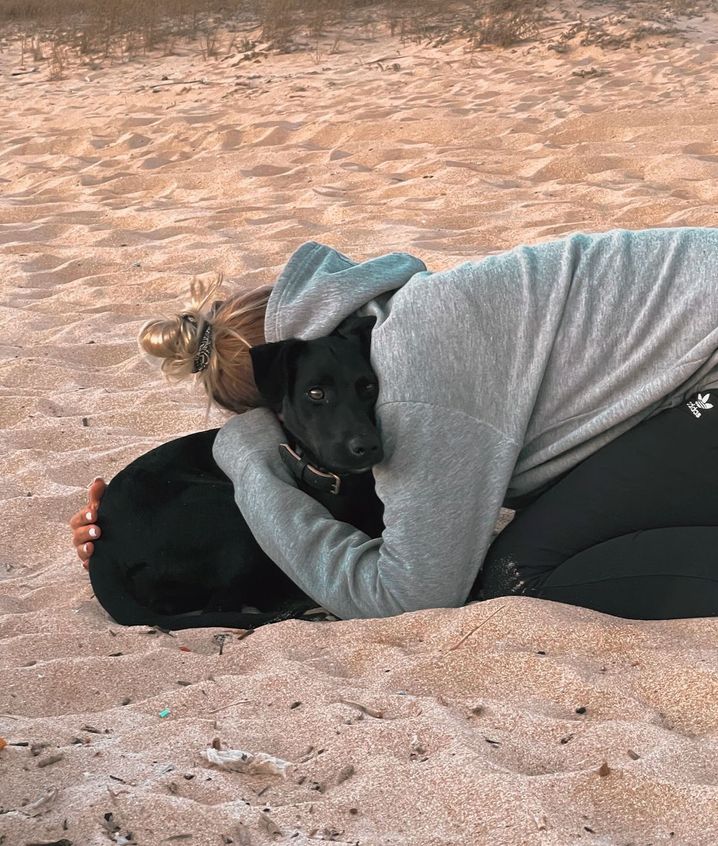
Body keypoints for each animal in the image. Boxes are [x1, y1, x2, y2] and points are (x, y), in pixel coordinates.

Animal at [89, 316, 386, 628]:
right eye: (315, 393)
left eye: (369, 387)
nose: (368, 446)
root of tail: (103, 550)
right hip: (231, 514)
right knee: (223, 606)